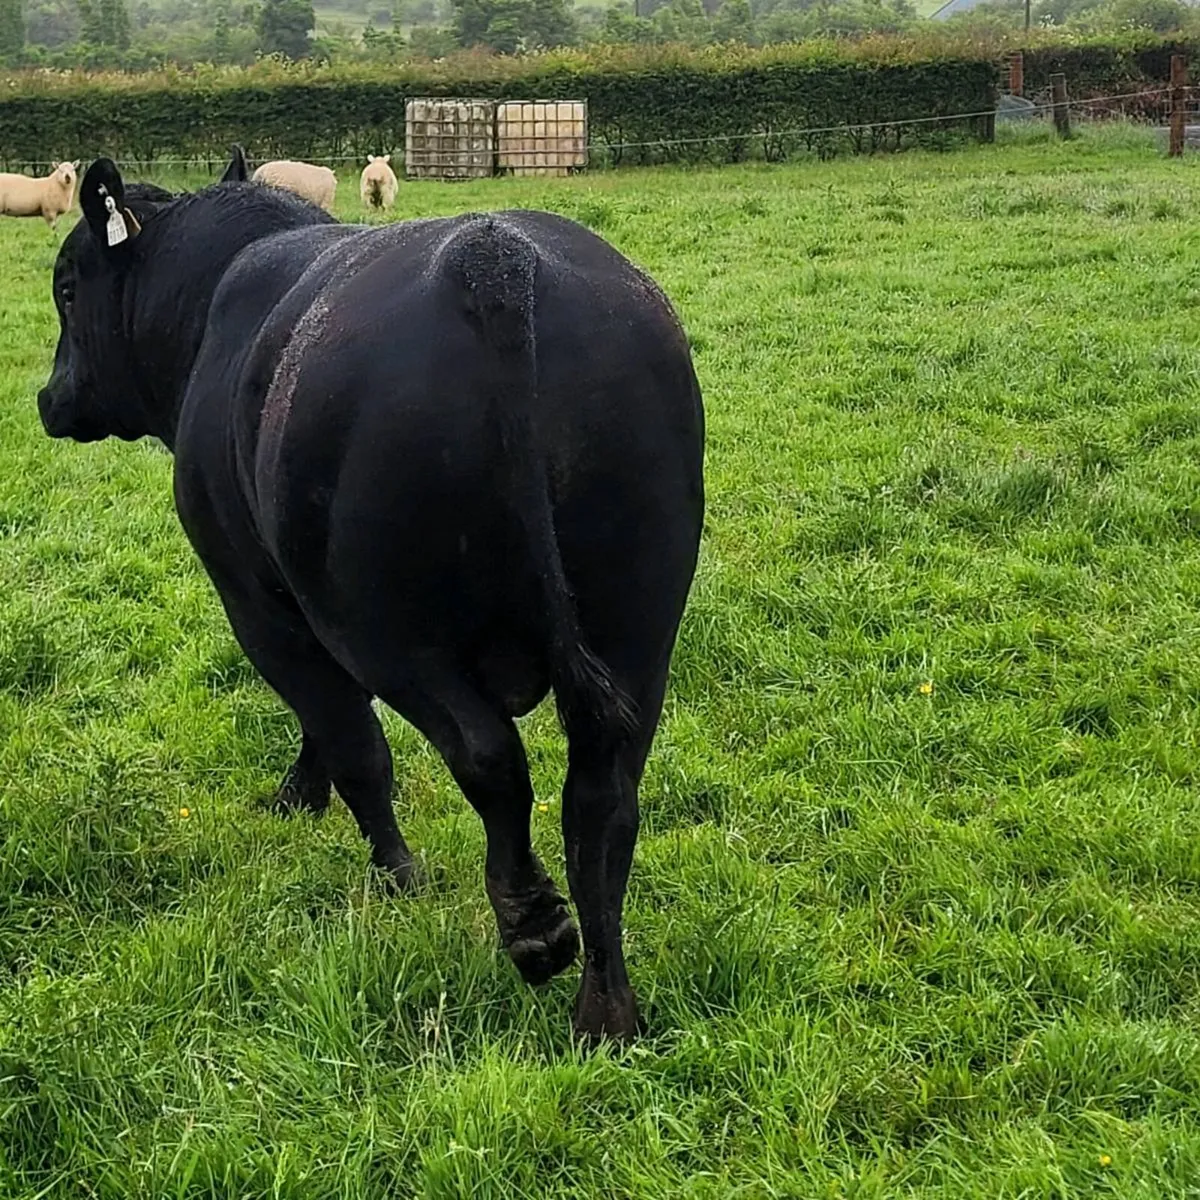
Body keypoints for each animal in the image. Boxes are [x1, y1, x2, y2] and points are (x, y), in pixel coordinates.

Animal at [36, 153, 705, 1040]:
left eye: (67, 288)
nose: (48, 399)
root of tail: (493, 258)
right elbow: (328, 723)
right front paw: (300, 796)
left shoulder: (260, 601)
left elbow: (347, 735)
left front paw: (392, 872)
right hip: (638, 623)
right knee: (602, 799)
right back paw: (605, 1010)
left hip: (387, 627)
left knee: (488, 759)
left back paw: (532, 928)